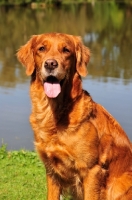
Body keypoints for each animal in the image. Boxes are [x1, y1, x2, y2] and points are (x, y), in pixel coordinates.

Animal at [17, 33, 132, 200]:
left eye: (66, 50)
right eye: (41, 48)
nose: (50, 64)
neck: (55, 114)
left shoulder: (92, 171)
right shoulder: (51, 170)